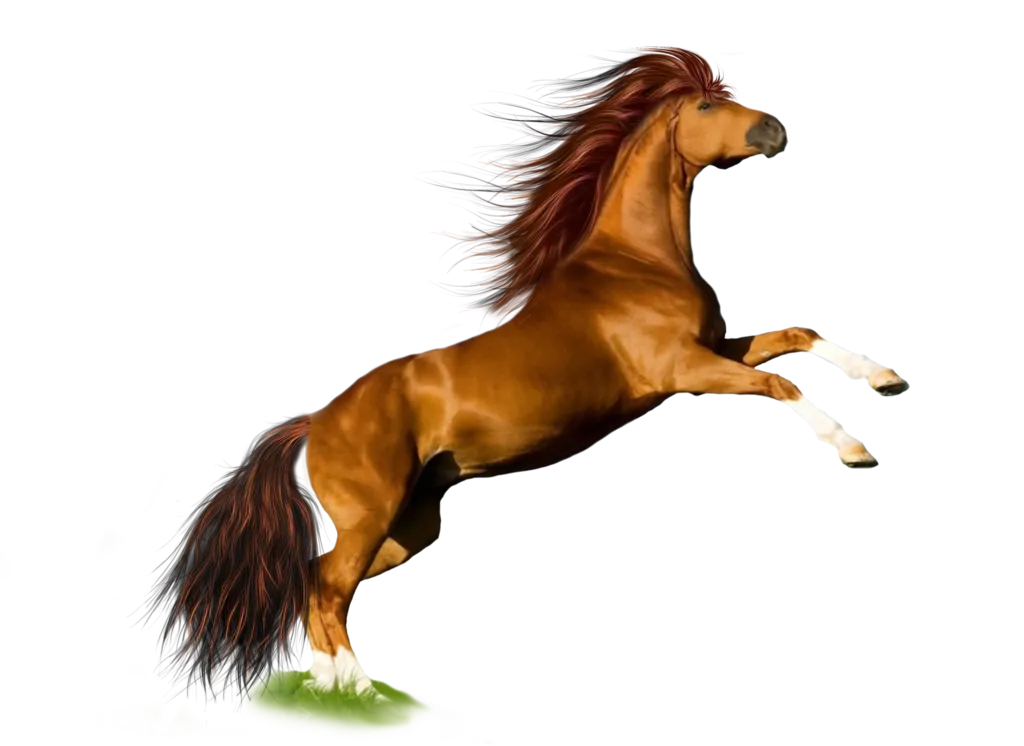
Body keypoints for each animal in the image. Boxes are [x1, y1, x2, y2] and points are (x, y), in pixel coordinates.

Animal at [149, 46, 909, 707]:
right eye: (702, 104)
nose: (778, 127)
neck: (635, 262)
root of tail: (311, 425)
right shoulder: (683, 369)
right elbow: (780, 381)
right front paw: (854, 448)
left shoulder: (719, 345)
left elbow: (797, 335)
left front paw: (885, 378)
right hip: (370, 514)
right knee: (326, 586)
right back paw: (368, 698)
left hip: (413, 521)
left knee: (321, 589)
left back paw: (345, 694)